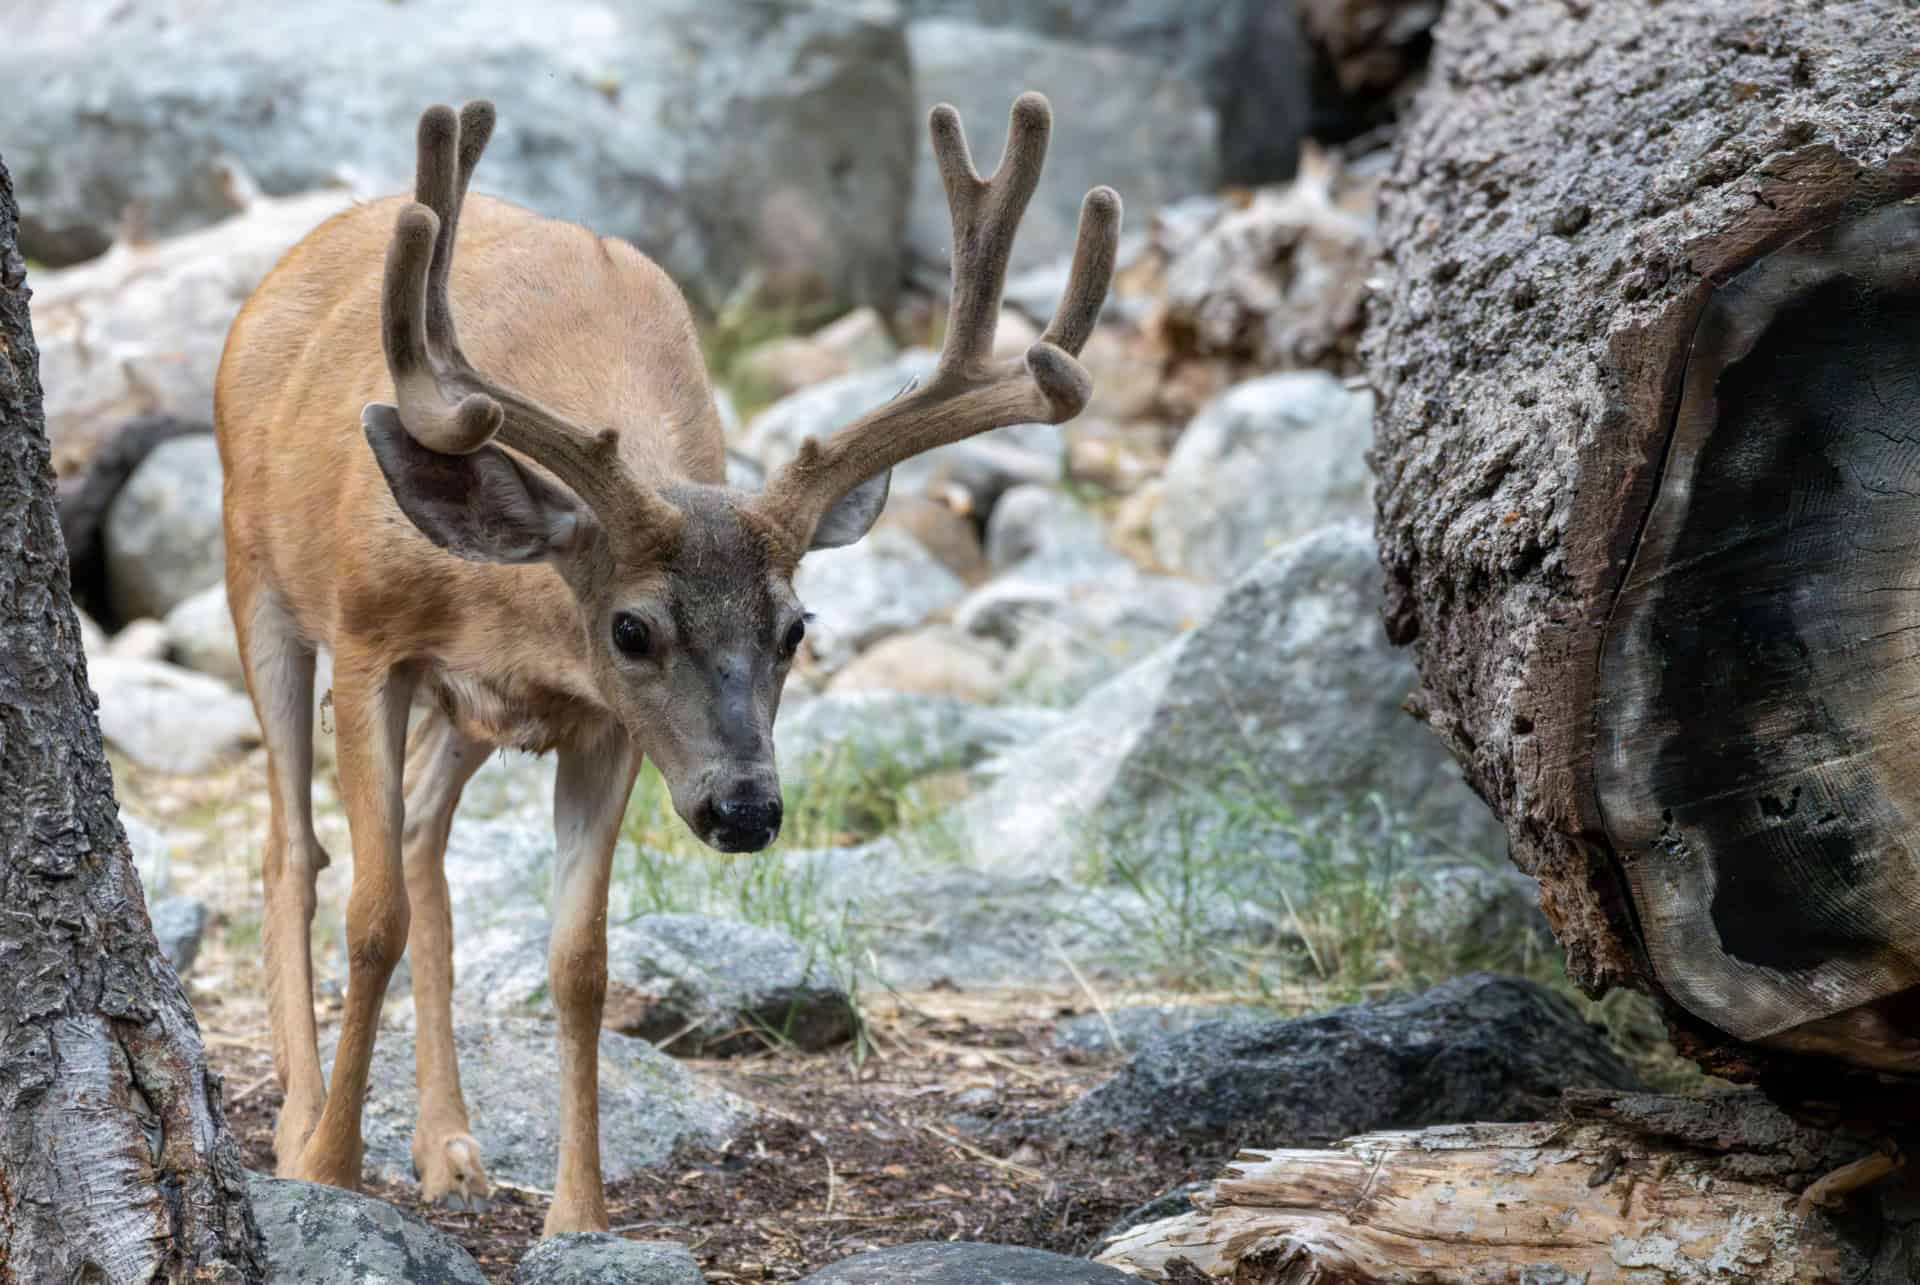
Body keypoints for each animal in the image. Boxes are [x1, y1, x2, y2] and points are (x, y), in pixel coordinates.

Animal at [220, 95, 1121, 1229]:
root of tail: (298, 255)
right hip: (256, 577)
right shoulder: (372, 640)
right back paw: (300, 1120)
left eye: (797, 627)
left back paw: (448, 1144)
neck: (509, 607)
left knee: (423, 833)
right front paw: (329, 1171)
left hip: (468, 714)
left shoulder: (604, 723)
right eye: (632, 629)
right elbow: (368, 915)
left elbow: (581, 964)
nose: (745, 808)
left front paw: (579, 1218)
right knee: (291, 851)